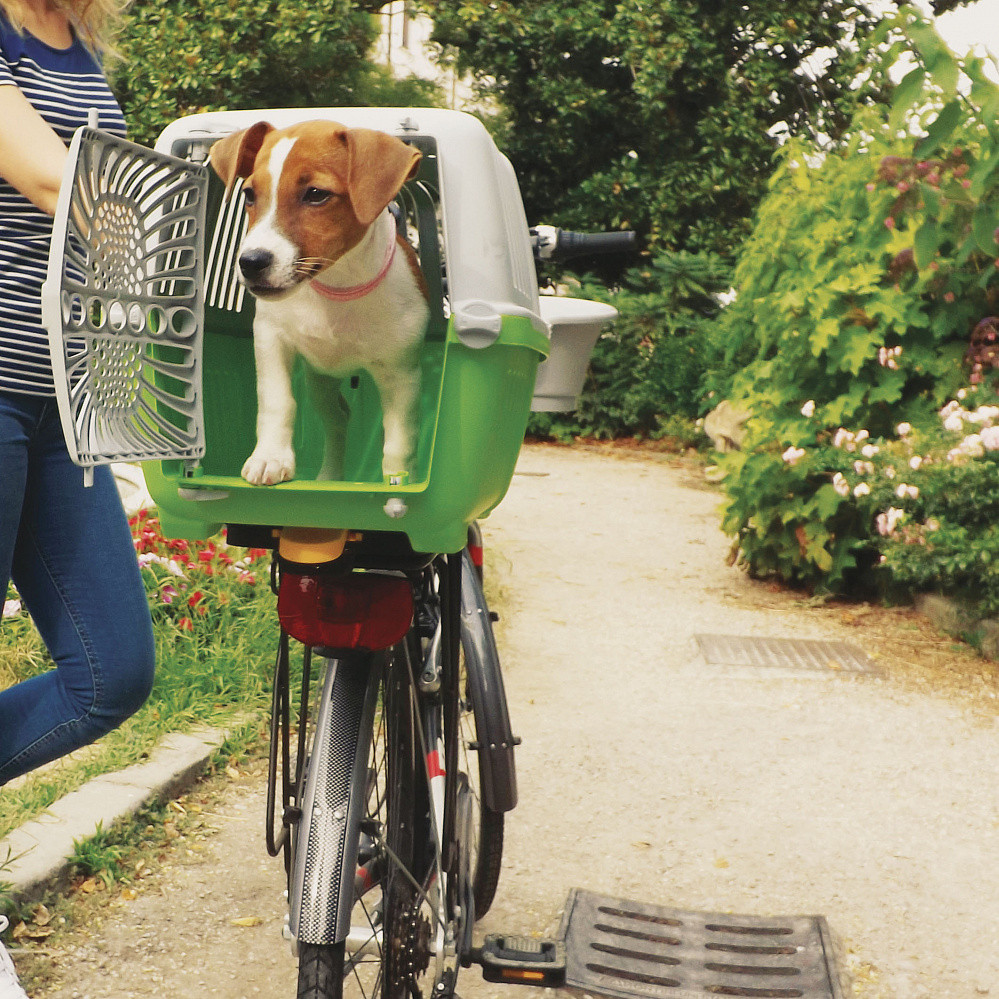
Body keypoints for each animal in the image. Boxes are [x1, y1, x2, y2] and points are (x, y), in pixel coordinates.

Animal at [209, 119, 428, 486]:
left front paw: (399, 481)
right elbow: (278, 402)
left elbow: (399, 442)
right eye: (249, 194)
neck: (338, 287)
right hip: (320, 382)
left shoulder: (402, 375)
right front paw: (270, 457)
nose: (250, 262)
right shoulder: (270, 340)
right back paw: (329, 477)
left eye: (315, 194)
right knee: (339, 419)